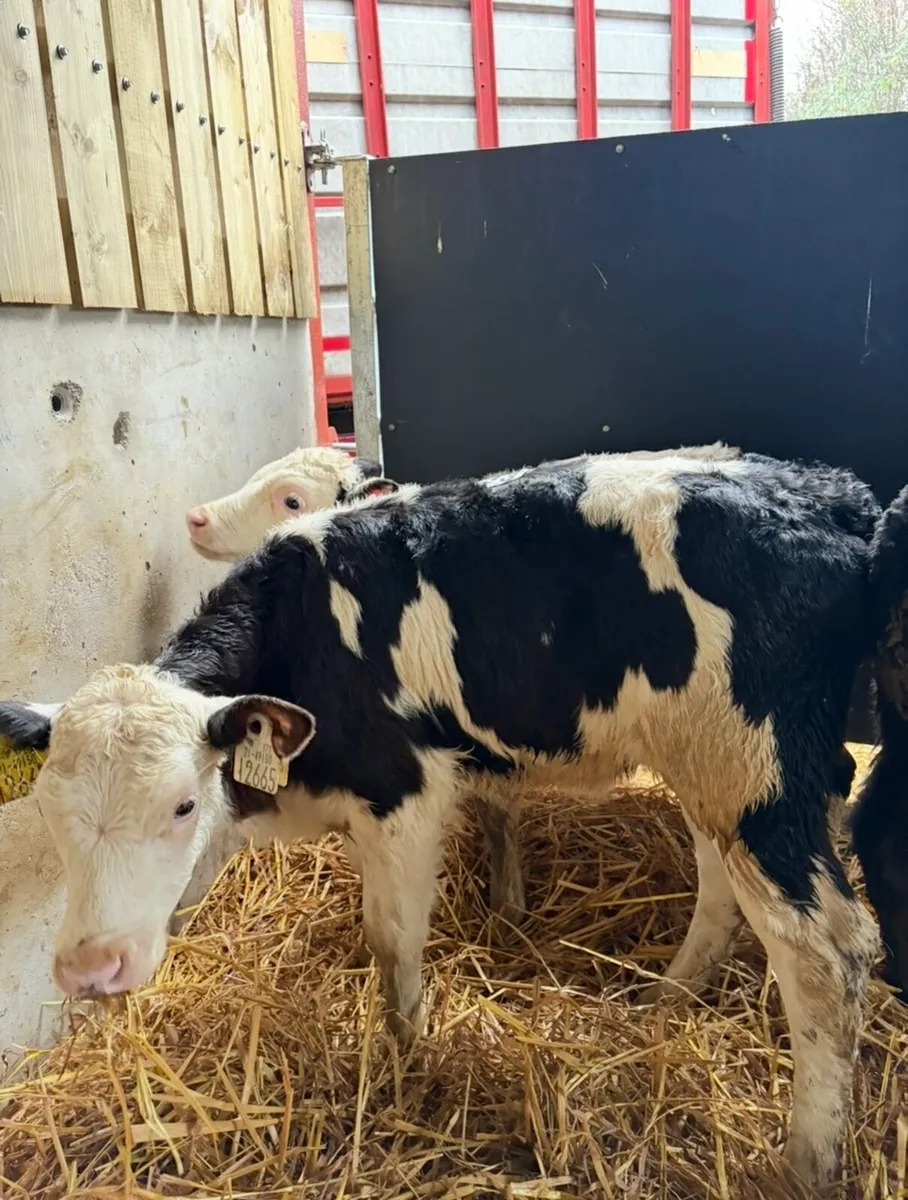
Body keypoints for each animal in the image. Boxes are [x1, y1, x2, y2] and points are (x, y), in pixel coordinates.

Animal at [0, 448, 887, 1189]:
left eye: (181, 802)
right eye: (48, 815)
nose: (89, 968)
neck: (303, 638)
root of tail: (827, 493)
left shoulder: (402, 792)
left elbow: (391, 939)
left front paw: (407, 1058)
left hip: (757, 769)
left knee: (824, 951)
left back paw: (805, 1163)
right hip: (710, 763)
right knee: (721, 887)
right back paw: (667, 996)